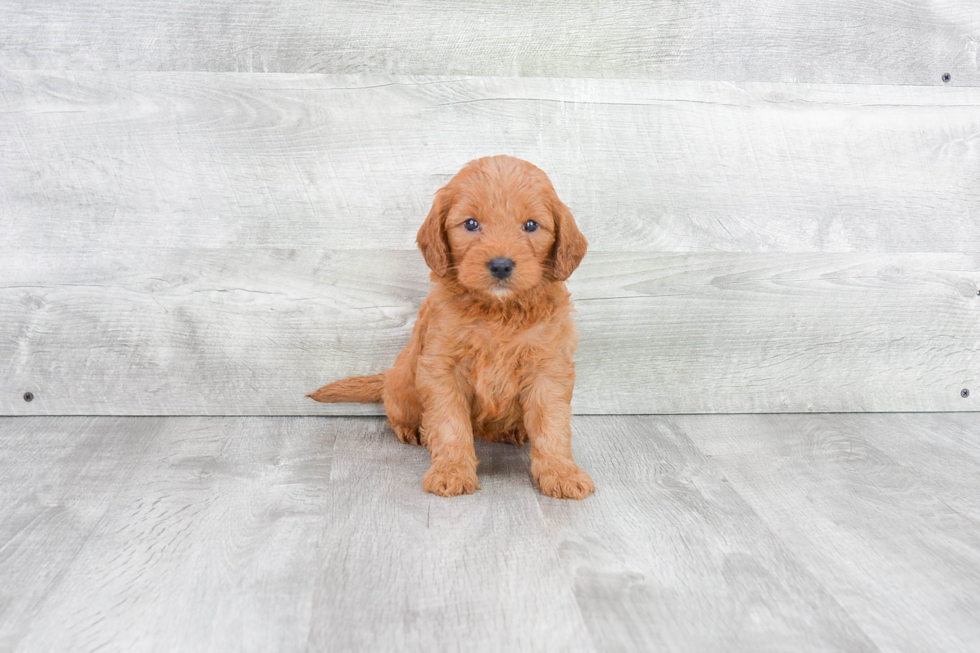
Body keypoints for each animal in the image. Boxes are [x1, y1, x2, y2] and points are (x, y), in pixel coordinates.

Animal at [310, 154, 592, 500]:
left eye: (530, 225)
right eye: (470, 224)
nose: (501, 265)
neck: (498, 311)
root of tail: (388, 375)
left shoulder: (548, 368)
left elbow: (553, 427)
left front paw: (562, 473)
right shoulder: (442, 368)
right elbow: (449, 425)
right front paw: (451, 471)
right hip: (403, 386)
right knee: (397, 412)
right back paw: (414, 431)